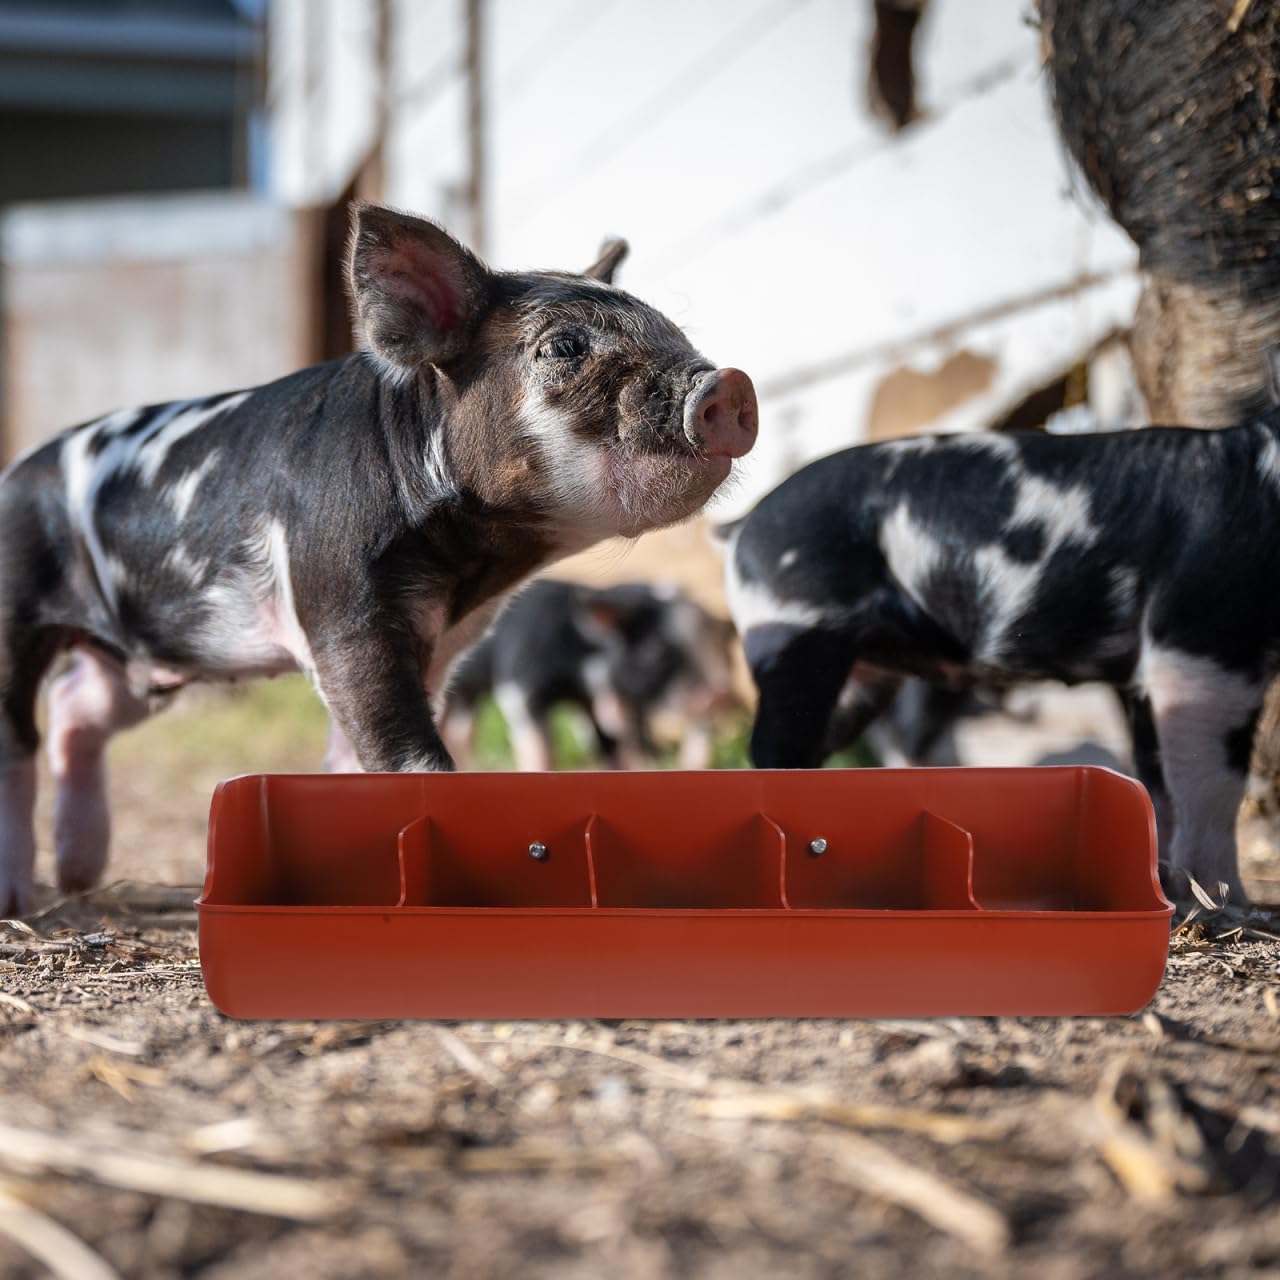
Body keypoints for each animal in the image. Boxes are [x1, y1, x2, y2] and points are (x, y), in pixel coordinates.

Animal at [440, 577, 739, 770]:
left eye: (725, 655)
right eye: (654, 649)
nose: (721, 693)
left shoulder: (590, 702)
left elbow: (610, 746)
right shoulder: (518, 682)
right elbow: (540, 746)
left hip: (465, 695)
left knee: (460, 730)